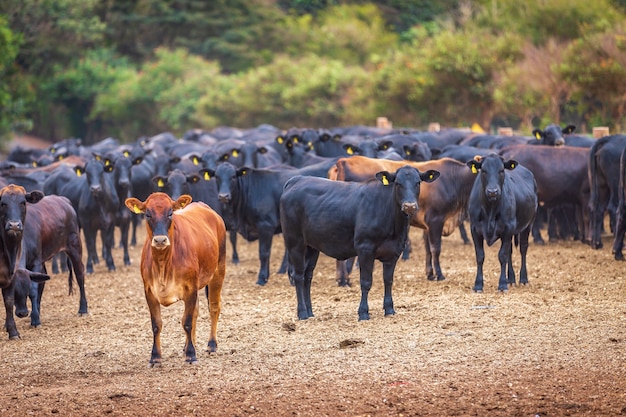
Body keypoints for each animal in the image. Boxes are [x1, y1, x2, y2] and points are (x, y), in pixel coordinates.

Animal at [125, 192, 225, 364]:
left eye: (170, 213)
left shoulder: (190, 288)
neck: (163, 265)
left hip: (219, 270)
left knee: (213, 307)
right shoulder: (149, 291)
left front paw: (191, 354)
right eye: (147, 214)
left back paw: (211, 345)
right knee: (196, 312)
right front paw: (155, 357)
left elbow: (187, 322)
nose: (160, 240)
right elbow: (156, 324)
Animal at [280, 165, 436, 318]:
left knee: (308, 276)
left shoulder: (394, 251)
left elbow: (388, 280)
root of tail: (297, 179)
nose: (409, 206)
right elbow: (366, 282)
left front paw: (389, 309)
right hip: (294, 241)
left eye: (418, 182)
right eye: (398, 183)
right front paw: (363, 312)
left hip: (312, 246)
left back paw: (310, 312)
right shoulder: (365, 248)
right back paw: (302, 312)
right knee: (298, 275)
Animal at [330, 156, 470, 282]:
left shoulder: (427, 225)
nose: (410, 206)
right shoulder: (435, 220)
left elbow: (428, 248)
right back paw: (343, 279)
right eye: (397, 183)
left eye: (418, 182)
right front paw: (439, 275)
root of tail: (343, 161)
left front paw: (430, 274)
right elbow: (435, 248)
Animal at [466, 153, 532, 292]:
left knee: (523, 249)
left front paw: (502, 284)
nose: (492, 192)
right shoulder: (475, 230)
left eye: (501, 170)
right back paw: (511, 279)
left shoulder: (507, 229)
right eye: (483, 171)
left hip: (528, 225)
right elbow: (480, 256)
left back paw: (523, 279)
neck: (490, 210)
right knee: (510, 251)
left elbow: (502, 256)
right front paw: (478, 284)